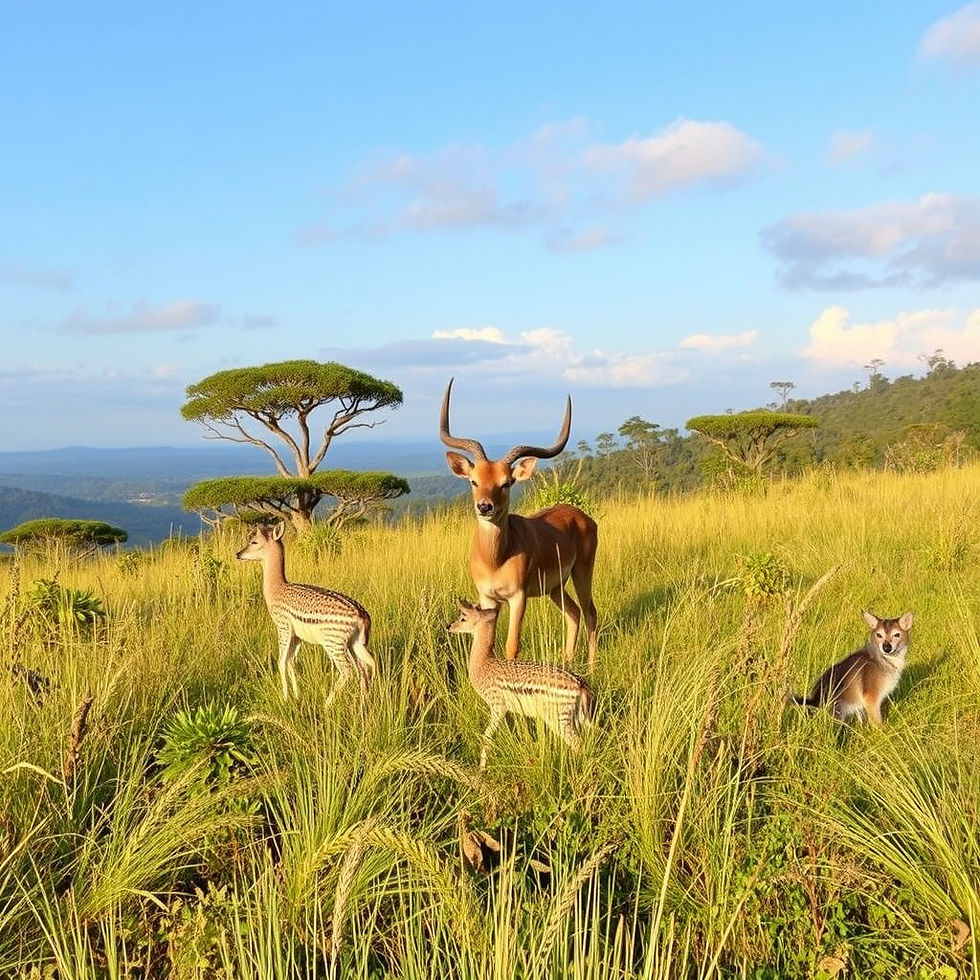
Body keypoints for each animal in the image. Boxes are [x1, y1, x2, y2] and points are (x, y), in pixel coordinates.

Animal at [236, 522, 375, 703]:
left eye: (254, 541)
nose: (238, 554)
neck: (278, 587)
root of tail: (362, 615)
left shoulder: (283, 628)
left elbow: (281, 662)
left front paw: (285, 698)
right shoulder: (297, 637)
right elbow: (290, 662)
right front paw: (296, 695)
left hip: (334, 644)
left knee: (348, 671)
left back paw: (327, 704)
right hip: (355, 644)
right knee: (365, 667)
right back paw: (363, 704)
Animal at [439, 378, 599, 667]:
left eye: (506, 482)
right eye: (473, 481)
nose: (485, 507)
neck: (495, 559)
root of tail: (582, 516)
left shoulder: (518, 596)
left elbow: (512, 645)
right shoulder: (488, 597)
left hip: (583, 571)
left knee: (590, 612)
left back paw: (592, 666)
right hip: (556, 587)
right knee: (573, 613)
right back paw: (568, 660)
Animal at [447, 599, 592, 768]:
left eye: (463, 617)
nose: (448, 626)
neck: (484, 664)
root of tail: (581, 685)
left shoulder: (498, 706)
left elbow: (486, 737)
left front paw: (482, 768)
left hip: (558, 718)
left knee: (577, 743)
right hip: (579, 717)